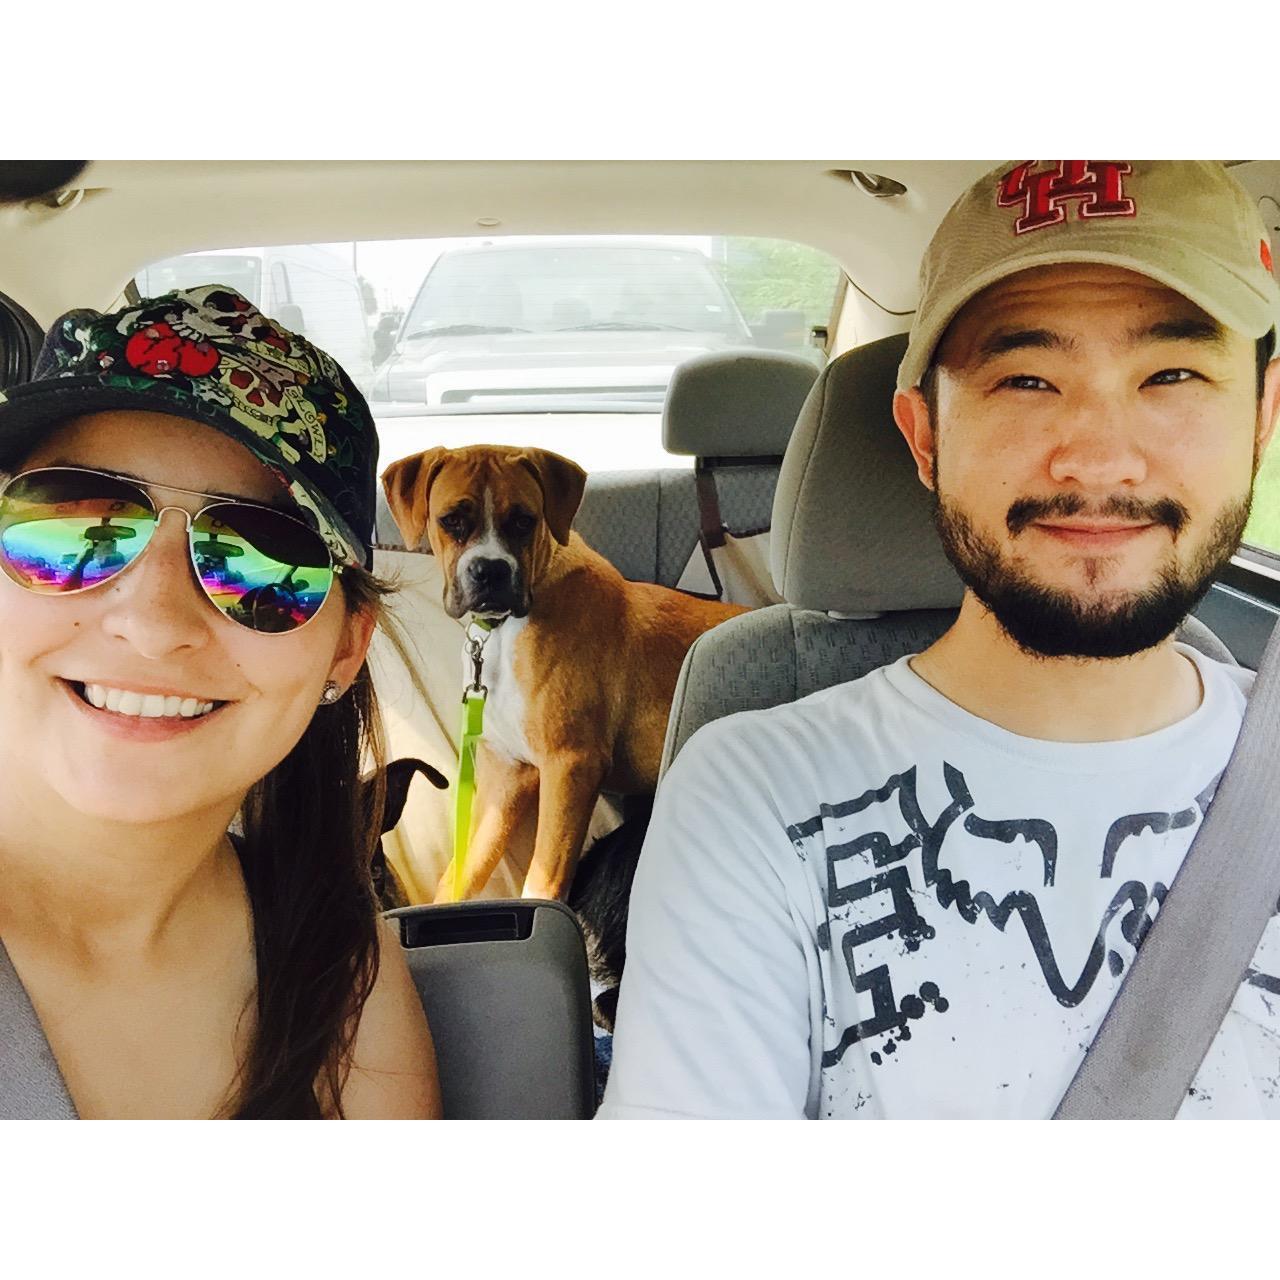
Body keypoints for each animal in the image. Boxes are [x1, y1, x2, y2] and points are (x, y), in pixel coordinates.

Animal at [380, 444, 746, 903]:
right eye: (452, 521)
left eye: (524, 520)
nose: (490, 571)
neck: (506, 628)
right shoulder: (508, 777)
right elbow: (463, 870)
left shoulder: (571, 765)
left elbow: (543, 879)